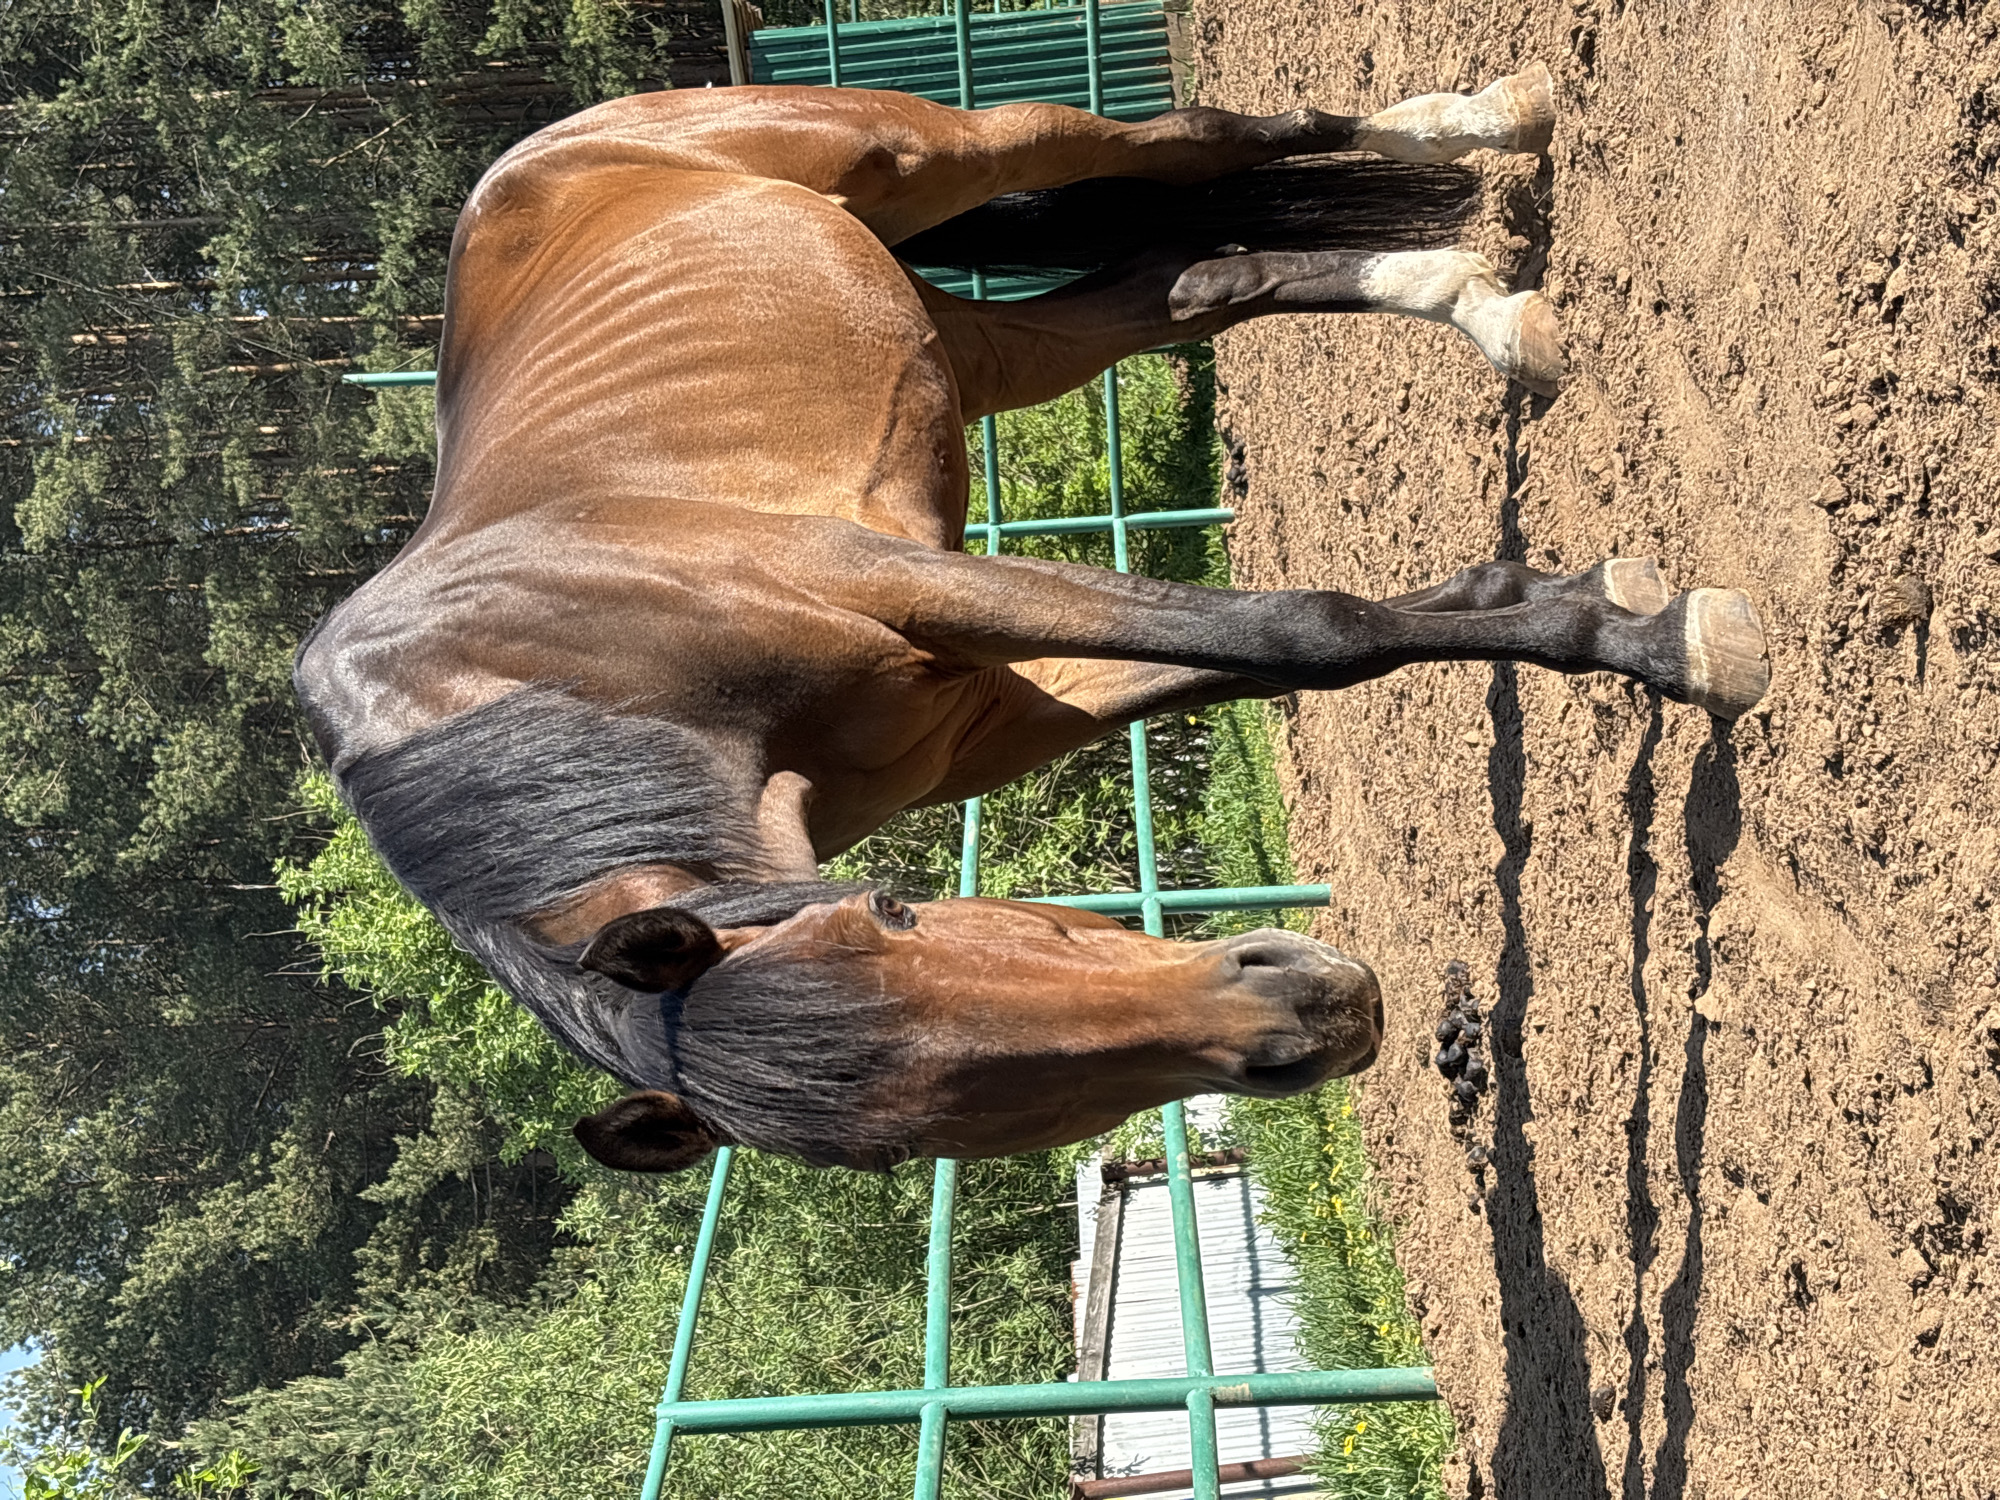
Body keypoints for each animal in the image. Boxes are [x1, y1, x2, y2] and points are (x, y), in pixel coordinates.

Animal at [294, 69, 1771, 1174]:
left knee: (1206, 143)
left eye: (895, 908)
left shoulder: (915, 583)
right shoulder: (1000, 708)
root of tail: (545, 146)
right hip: (980, 346)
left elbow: (1304, 633)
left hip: (931, 153)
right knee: (1200, 280)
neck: (571, 687)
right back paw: (1484, 304)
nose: (1309, 1013)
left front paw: (1669, 640)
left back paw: (1494, 126)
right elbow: (1274, 651)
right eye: (898, 1150)